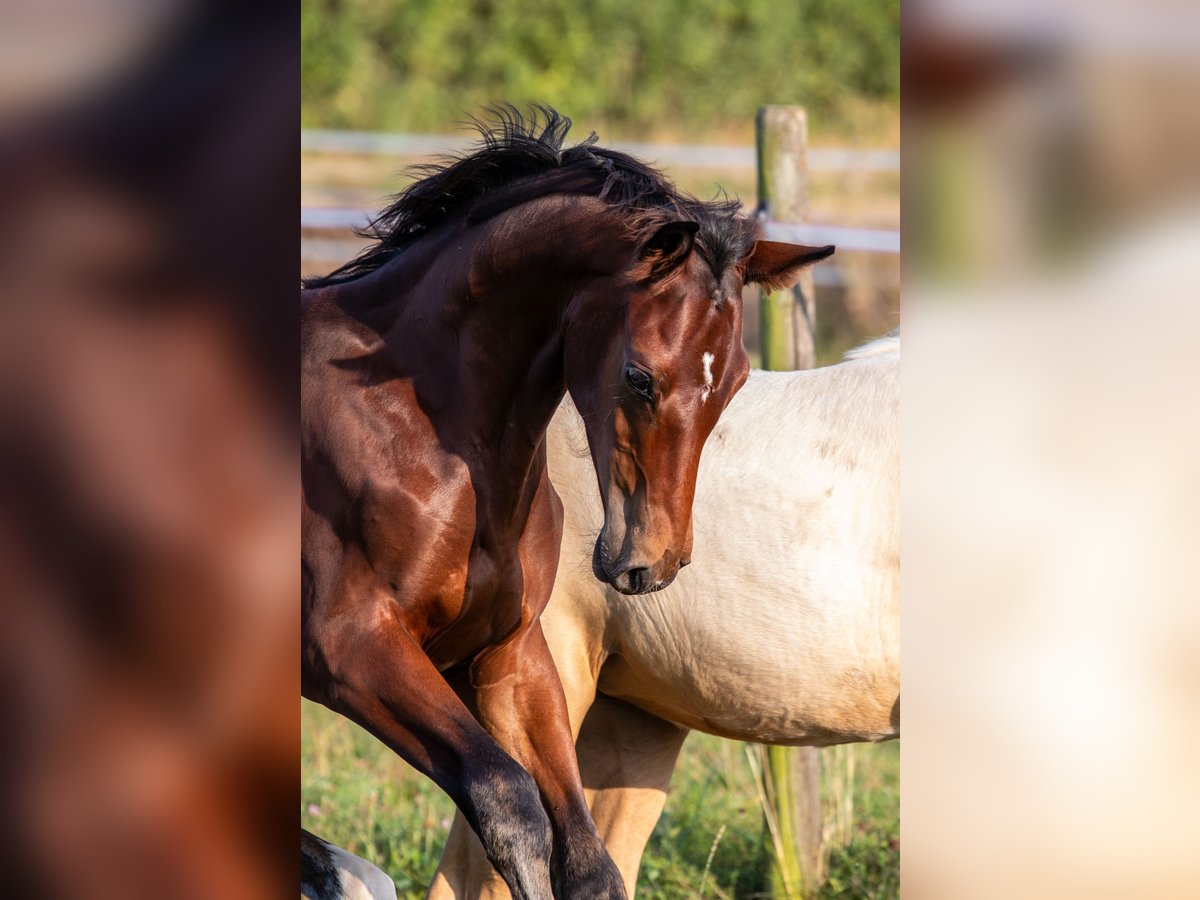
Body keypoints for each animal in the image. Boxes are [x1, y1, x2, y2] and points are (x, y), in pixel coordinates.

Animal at [300, 107, 835, 900]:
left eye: (736, 380)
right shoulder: (348, 648)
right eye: (640, 376)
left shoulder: (510, 658)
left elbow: (587, 859)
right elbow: (507, 801)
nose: (651, 564)